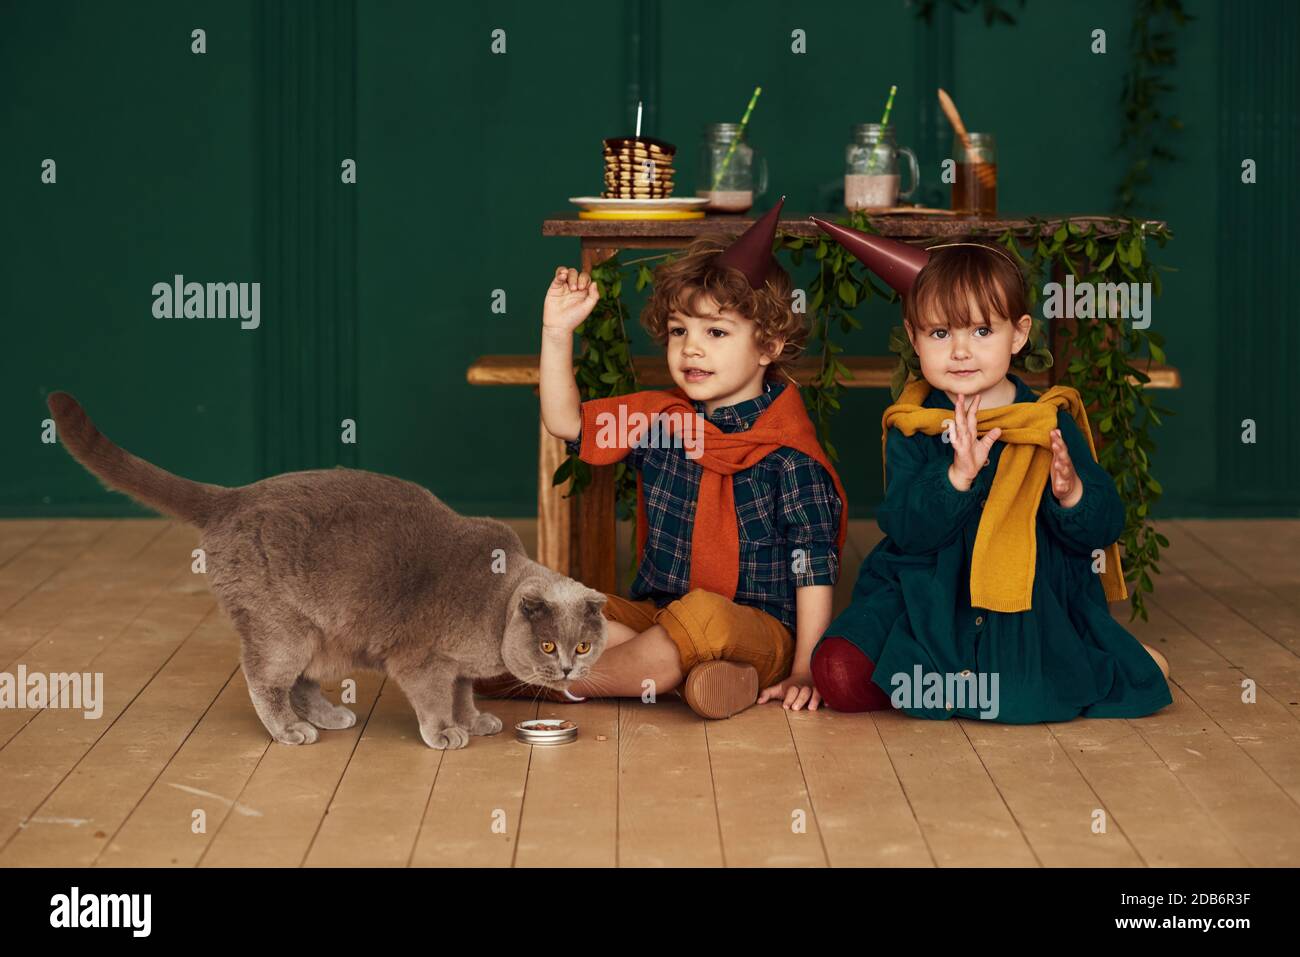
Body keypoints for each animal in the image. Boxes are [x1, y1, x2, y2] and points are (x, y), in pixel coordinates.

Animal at [44, 392, 603, 748]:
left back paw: (330, 716)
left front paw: (475, 720)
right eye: (548, 646)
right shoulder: (421, 659)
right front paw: (445, 732)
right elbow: (434, 698)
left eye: (582, 646)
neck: (492, 612)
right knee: (264, 678)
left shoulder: (458, 666)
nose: (567, 669)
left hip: (320, 635)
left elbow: (462, 692)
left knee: (300, 682)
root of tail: (231, 496)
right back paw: (290, 731)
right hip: (282, 626)